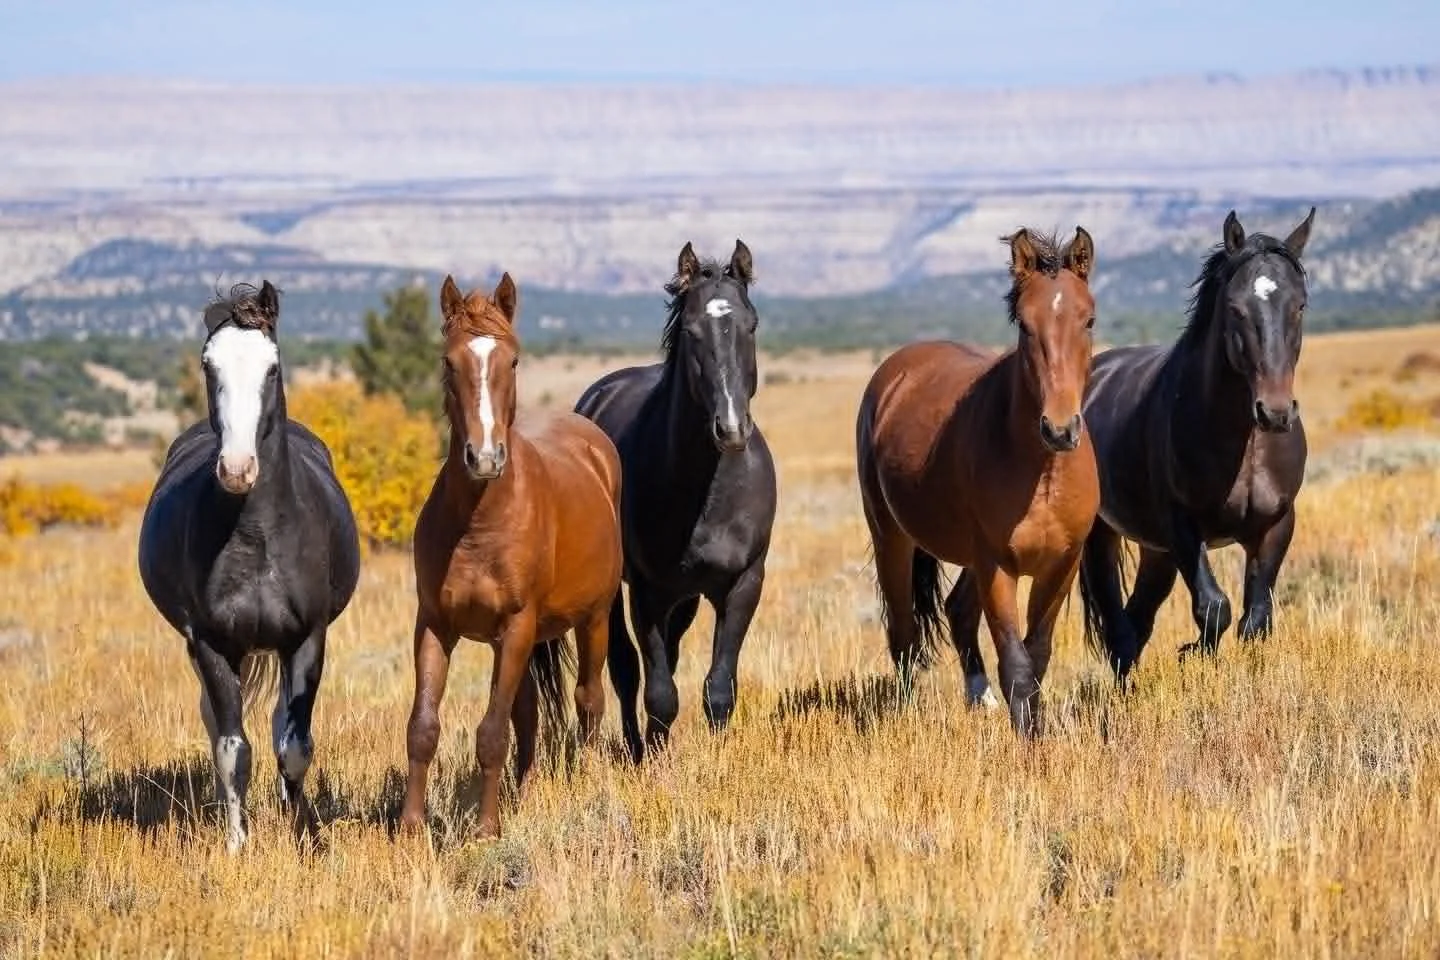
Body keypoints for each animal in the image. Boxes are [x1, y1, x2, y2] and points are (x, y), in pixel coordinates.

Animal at [137, 281, 360, 852]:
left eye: (273, 367)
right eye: (207, 364)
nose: (237, 469)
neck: (257, 534)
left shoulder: (307, 637)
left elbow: (296, 744)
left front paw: (304, 836)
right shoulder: (212, 643)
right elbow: (233, 748)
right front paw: (237, 846)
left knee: (282, 721)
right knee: (216, 722)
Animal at [399, 272, 623, 839]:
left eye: (514, 361)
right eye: (448, 362)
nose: (484, 457)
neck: (480, 521)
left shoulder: (518, 625)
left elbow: (492, 731)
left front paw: (485, 830)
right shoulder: (434, 624)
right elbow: (423, 726)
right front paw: (410, 827)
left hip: (592, 620)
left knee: (589, 699)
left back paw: (586, 782)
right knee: (530, 714)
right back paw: (523, 791)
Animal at [573, 239, 777, 762]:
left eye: (751, 325)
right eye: (691, 330)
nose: (731, 428)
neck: (708, 493)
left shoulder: (743, 584)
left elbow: (719, 687)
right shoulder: (646, 591)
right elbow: (659, 691)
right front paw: (654, 759)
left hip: (684, 597)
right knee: (626, 668)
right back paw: (633, 745)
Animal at [856, 227, 1100, 737]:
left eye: (1088, 320)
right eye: (1025, 325)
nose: (1060, 429)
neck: (1041, 471)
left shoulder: (1060, 565)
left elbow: (1037, 654)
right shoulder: (996, 566)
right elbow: (1017, 663)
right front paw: (1027, 741)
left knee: (955, 610)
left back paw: (978, 698)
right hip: (891, 537)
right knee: (903, 632)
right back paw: (908, 715)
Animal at [1077, 208, 1316, 681]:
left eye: (1299, 306)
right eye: (1235, 308)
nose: (1275, 412)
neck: (1245, 444)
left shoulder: (1276, 526)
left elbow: (1255, 619)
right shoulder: (1183, 526)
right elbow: (1213, 608)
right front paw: (1195, 657)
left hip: (1156, 551)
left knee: (1137, 620)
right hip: (1103, 535)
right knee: (1119, 629)